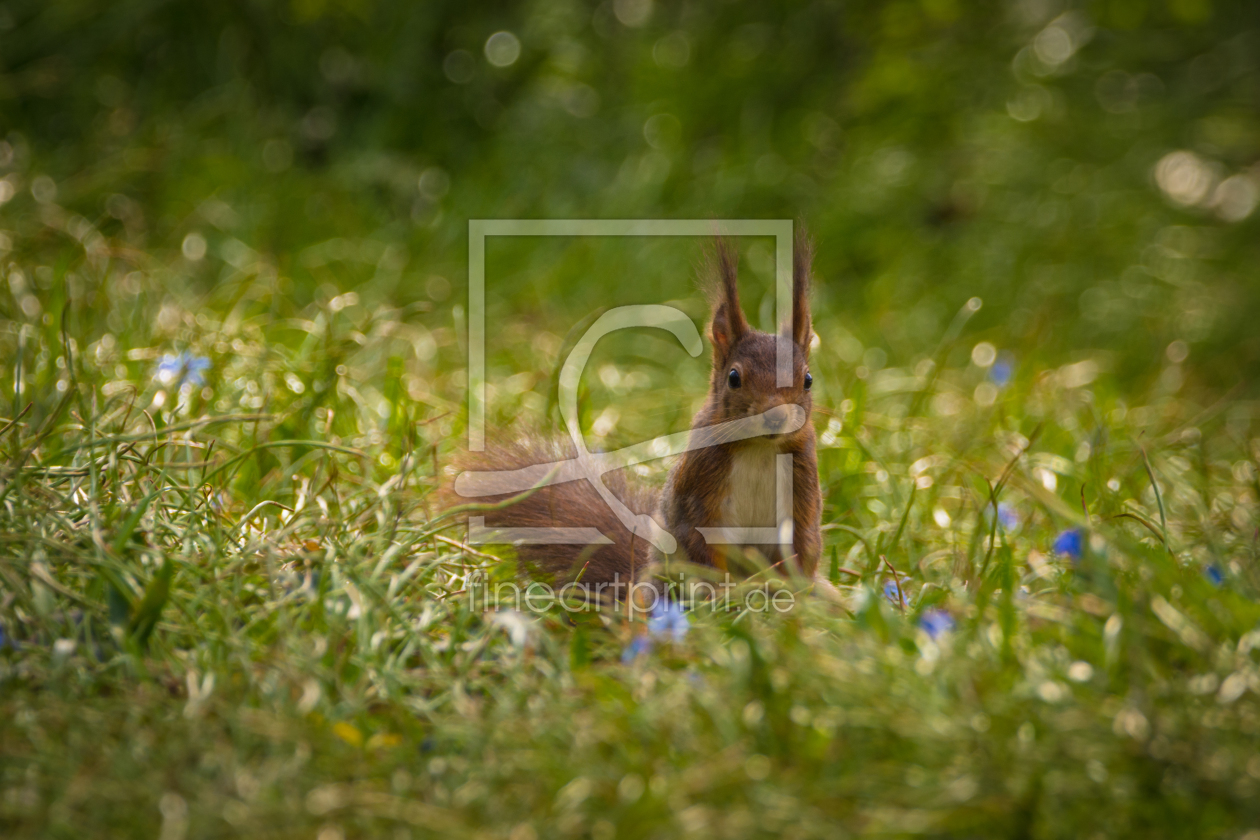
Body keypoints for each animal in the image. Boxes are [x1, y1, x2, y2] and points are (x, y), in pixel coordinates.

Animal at [448, 232, 821, 594]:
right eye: (734, 378)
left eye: (808, 380)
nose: (776, 417)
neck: (759, 448)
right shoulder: (698, 486)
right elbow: (698, 542)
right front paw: (724, 591)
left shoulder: (801, 486)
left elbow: (803, 546)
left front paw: (788, 588)